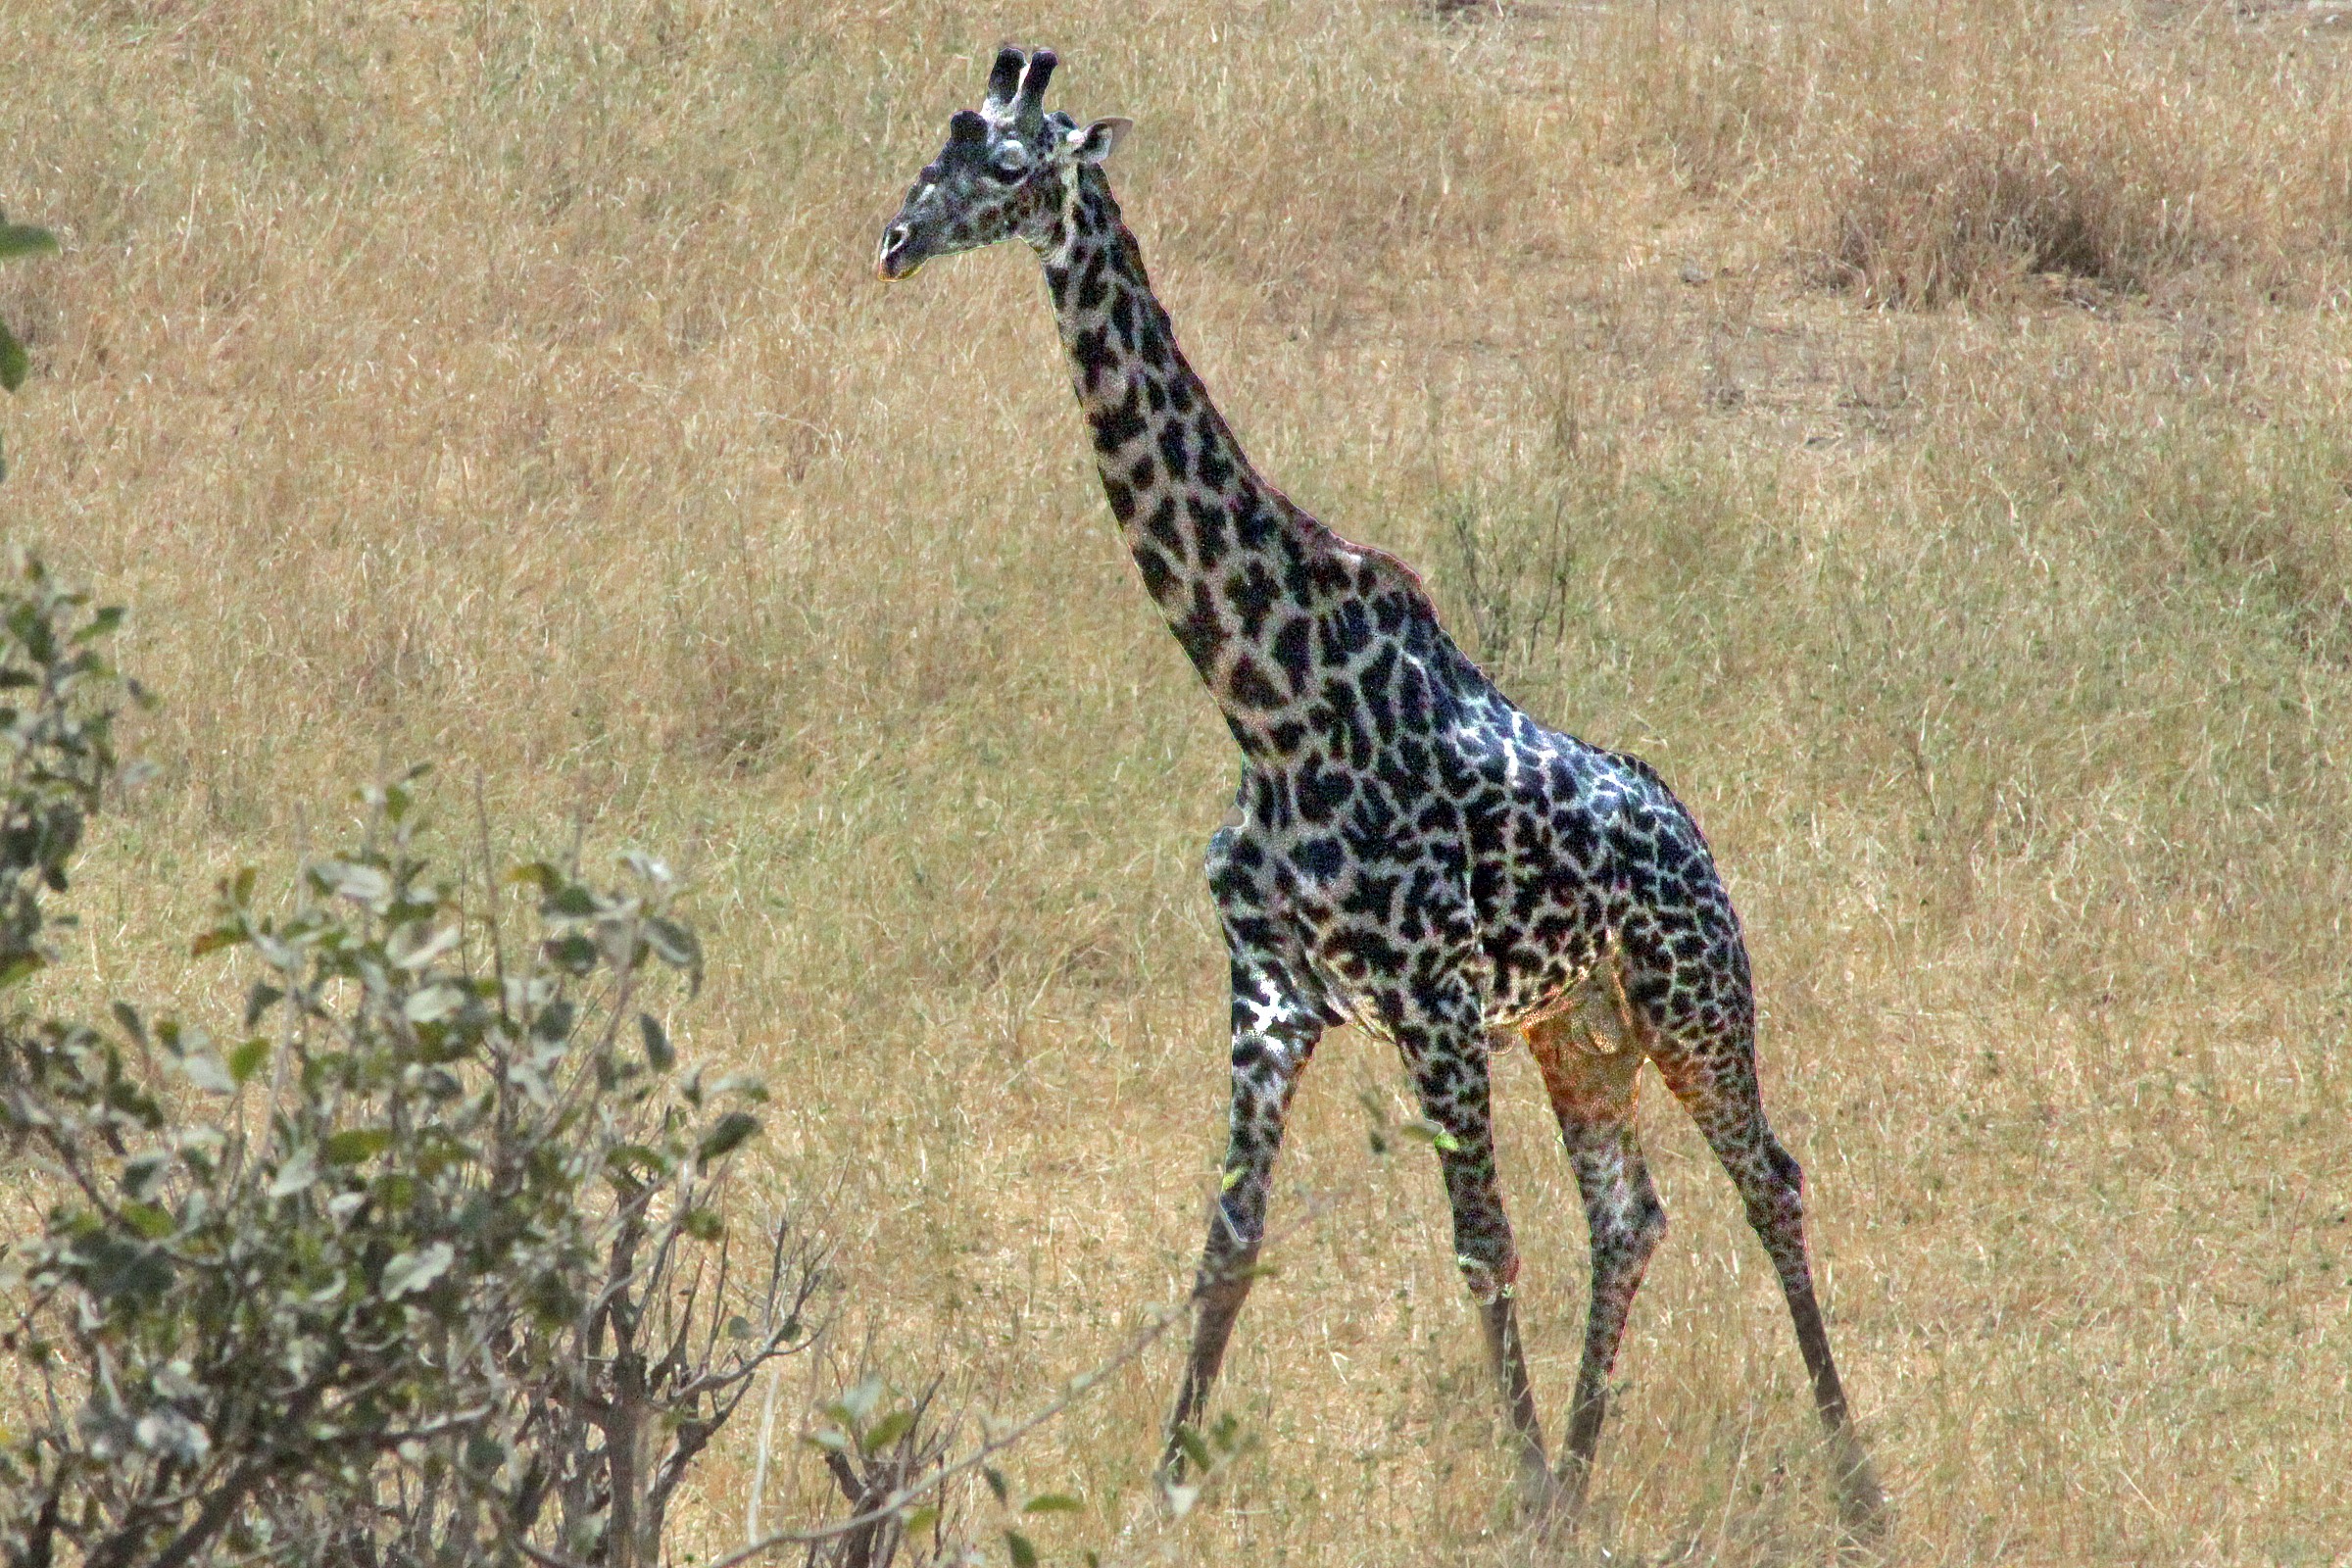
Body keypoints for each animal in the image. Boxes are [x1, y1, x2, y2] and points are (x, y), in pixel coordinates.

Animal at [876, 47, 1886, 1531]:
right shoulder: (1271, 989)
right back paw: (1582, 1477)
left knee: (1771, 1181)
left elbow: (1481, 1247)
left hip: (1692, 999)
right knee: (1631, 1215)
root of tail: (1694, 836)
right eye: (932, 149)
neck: (1269, 703)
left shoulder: (1431, 999)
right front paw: (1164, 1492)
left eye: (1009, 166)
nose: (895, 240)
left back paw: (1848, 1486)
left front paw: (1511, 1495)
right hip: (1578, 1030)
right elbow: (1228, 1241)